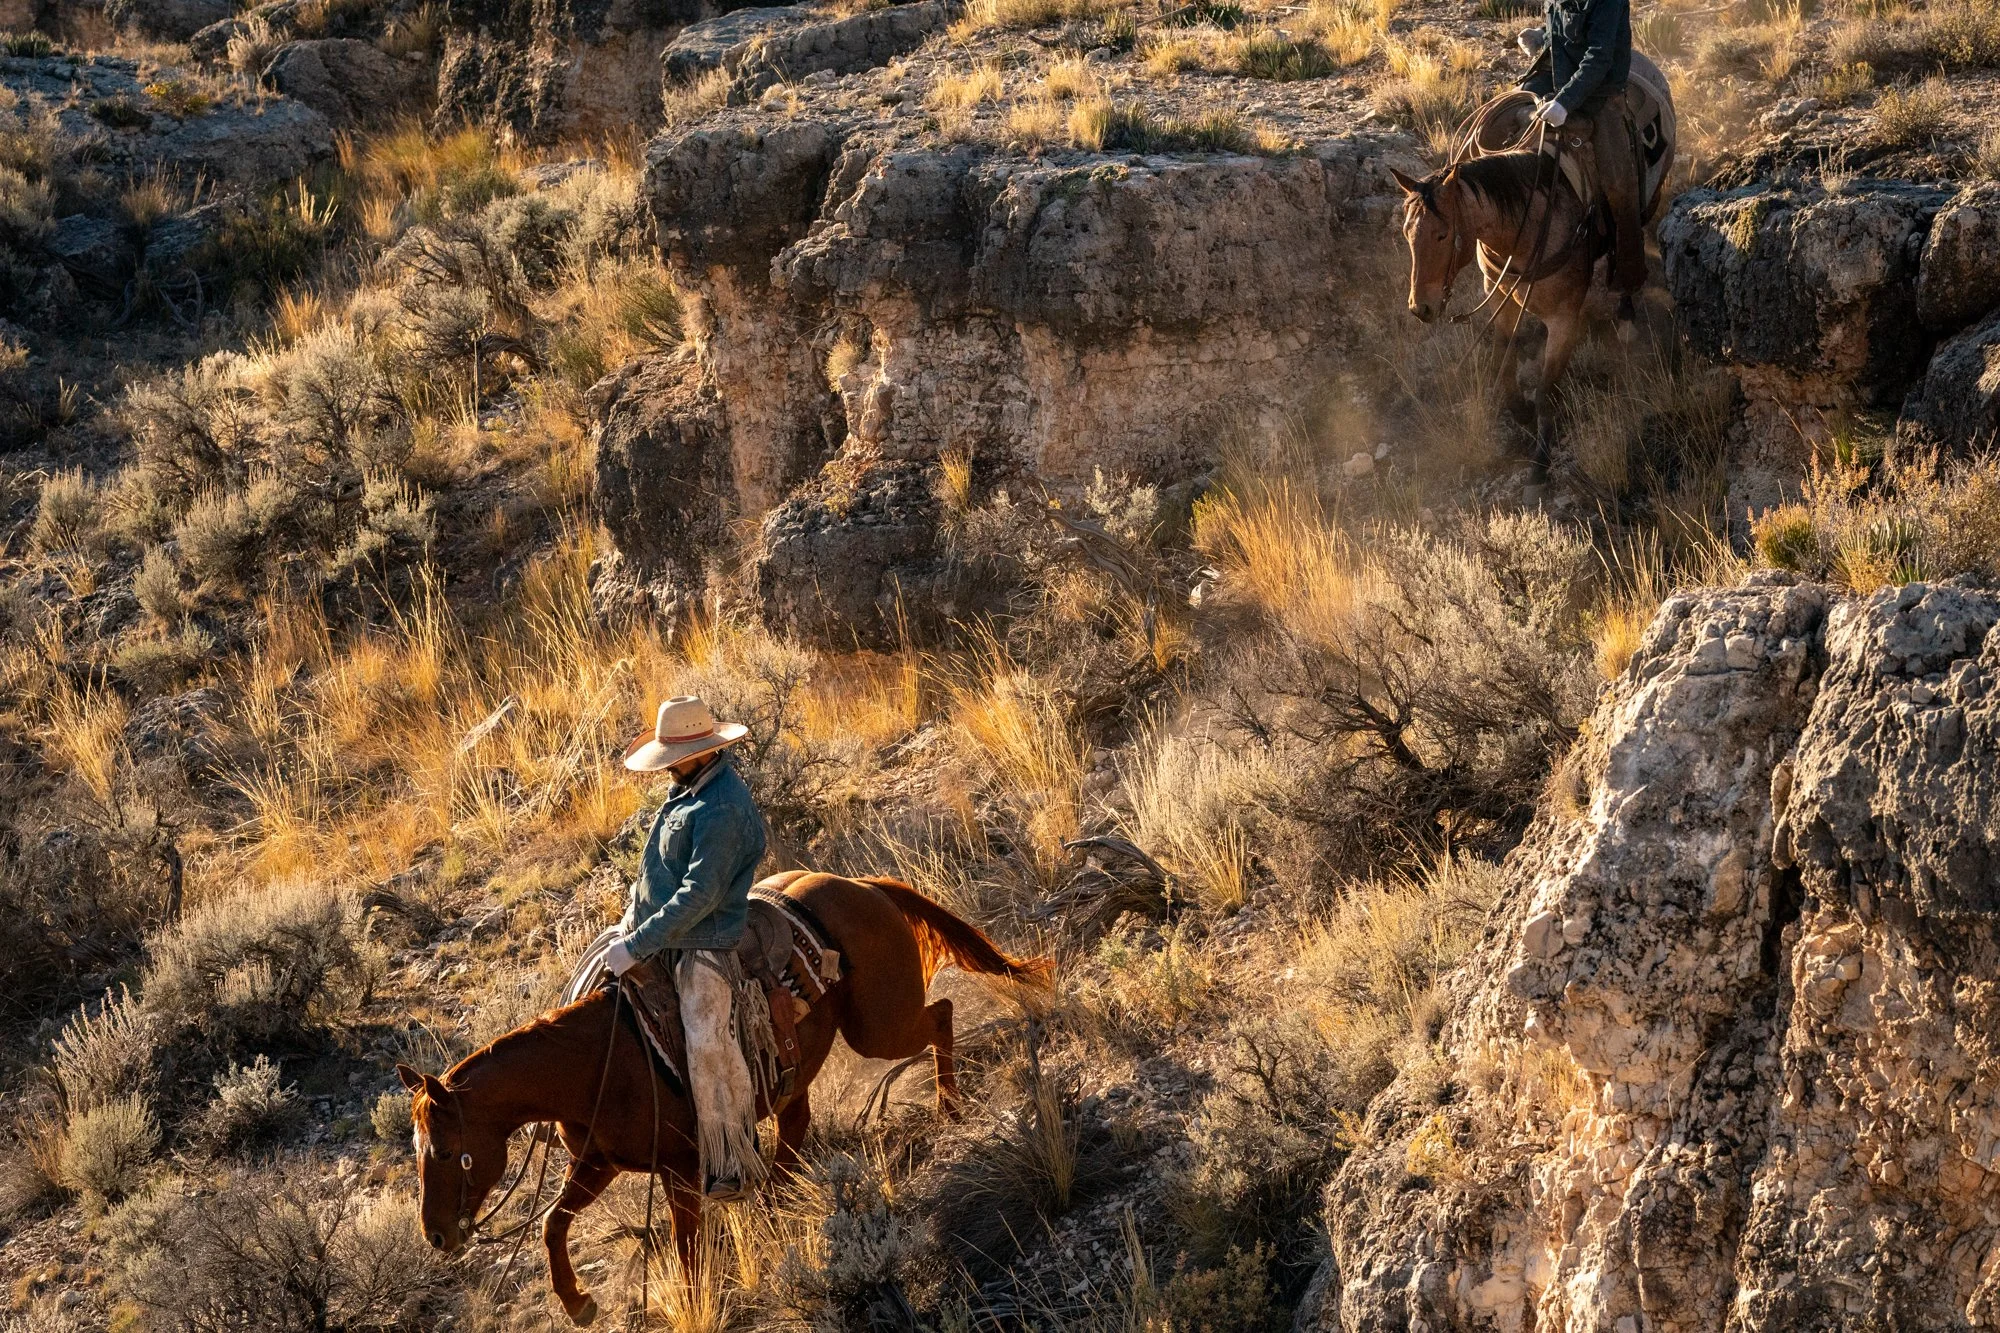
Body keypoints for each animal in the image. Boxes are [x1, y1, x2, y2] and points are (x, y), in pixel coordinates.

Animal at [394, 871, 1047, 1326]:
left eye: (448, 1151)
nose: (436, 1237)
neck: (598, 1063)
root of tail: (866, 886)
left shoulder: (683, 1168)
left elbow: (687, 1250)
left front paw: (696, 1301)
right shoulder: (601, 1161)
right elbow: (555, 1224)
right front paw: (579, 1304)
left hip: (879, 1026)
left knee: (941, 1015)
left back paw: (950, 1109)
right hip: (801, 1069)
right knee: (796, 1126)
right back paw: (776, 1206)